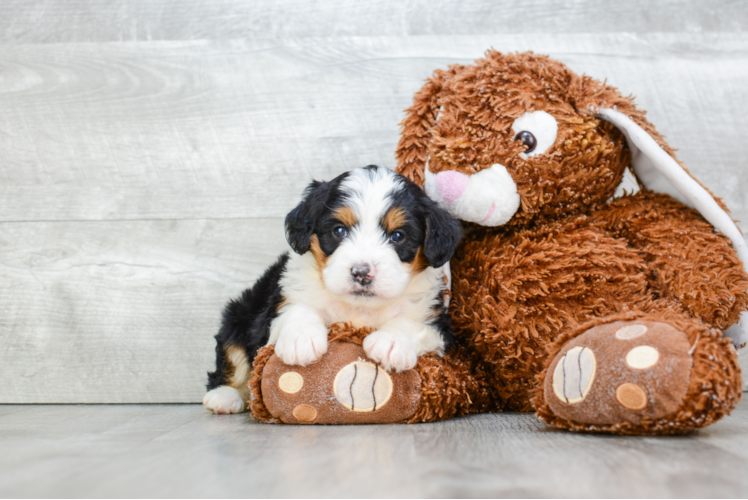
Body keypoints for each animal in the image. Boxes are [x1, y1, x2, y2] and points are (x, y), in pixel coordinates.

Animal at [205, 165, 462, 414]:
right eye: (339, 231)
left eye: (398, 236)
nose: (361, 272)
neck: (360, 307)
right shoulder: (275, 306)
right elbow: (298, 308)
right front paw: (301, 339)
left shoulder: (440, 323)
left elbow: (412, 323)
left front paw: (390, 342)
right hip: (239, 313)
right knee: (232, 357)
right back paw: (224, 396)